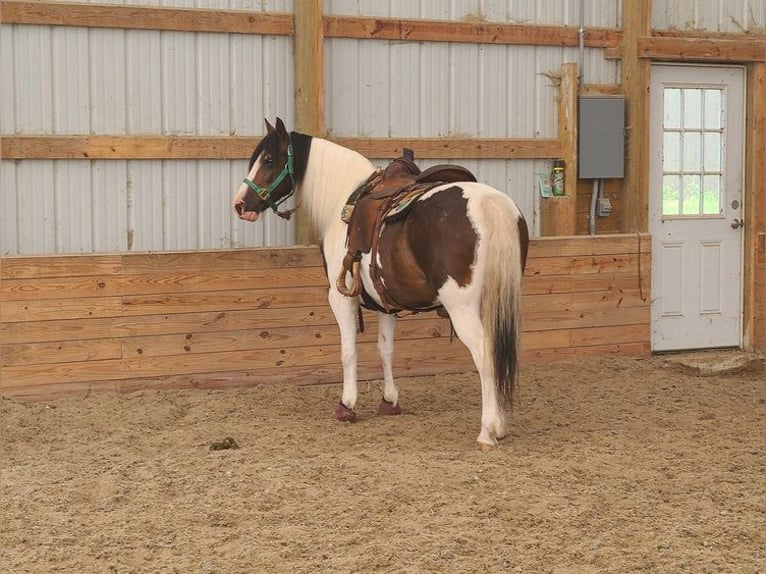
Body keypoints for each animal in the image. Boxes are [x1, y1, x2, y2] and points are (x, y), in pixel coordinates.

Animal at [234, 118, 532, 450]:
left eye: (269, 159)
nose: (240, 204)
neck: (343, 202)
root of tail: (490, 203)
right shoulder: (385, 303)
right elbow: (385, 349)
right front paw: (389, 401)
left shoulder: (341, 298)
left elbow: (348, 351)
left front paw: (347, 404)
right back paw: (500, 424)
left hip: (462, 308)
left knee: (484, 353)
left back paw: (488, 430)